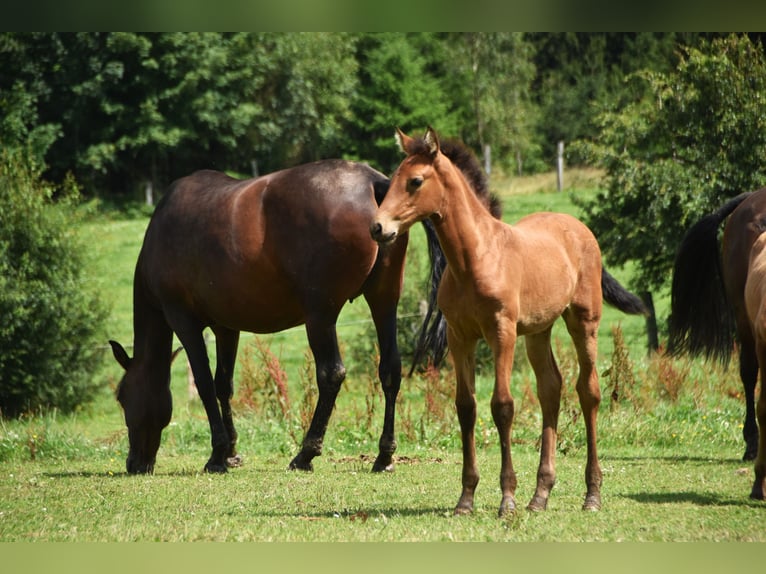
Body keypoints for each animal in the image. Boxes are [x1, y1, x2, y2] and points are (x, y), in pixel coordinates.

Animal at [109, 159, 444, 476]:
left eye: (123, 397)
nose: (134, 463)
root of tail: (375, 183)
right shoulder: (226, 327)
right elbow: (223, 385)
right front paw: (231, 453)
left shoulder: (184, 321)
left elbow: (204, 384)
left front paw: (217, 456)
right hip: (383, 303)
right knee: (390, 370)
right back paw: (384, 456)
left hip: (320, 316)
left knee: (331, 374)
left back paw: (305, 453)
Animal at [372, 128, 648, 520]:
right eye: (393, 178)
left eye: (415, 181)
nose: (378, 227)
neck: (476, 258)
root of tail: (578, 226)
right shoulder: (460, 337)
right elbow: (466, 407)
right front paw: (466, 499)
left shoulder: (501, 333)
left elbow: (502, 406)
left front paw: (507, 498)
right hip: (537, 331)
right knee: (551, 388)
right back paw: (540, 495)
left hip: (583, 321)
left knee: (588, 391)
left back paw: (592, 494)